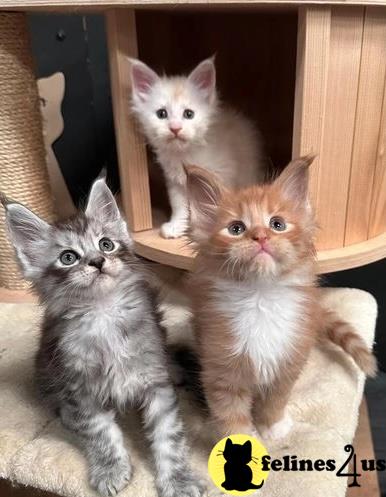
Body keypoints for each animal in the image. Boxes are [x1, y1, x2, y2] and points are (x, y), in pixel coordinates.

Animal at [3, 179, 204, 496]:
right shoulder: (81, 388)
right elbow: (101, 433)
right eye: (68, 257)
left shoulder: (155, 383)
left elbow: (169, 437)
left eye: (106, 244)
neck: (104, 313)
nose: (97, 261)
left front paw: (179, 479)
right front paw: (111, 469)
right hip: (46, 369)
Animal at [130, 56, 266, 238]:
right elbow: (179, 205)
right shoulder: (175, 181)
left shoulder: (223, 173)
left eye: (189, 114)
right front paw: (177, 225)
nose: (175, 128)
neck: (185, 154)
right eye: (161, 114)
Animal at [185, 157, 376, 440]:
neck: (260, 297)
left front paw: (273, 427)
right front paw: (245, 439)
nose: (261, 236)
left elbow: (275, 400)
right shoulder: (221, 370)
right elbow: (231, 414)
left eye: (277, 224)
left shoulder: (288, 361)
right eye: (236, 229)